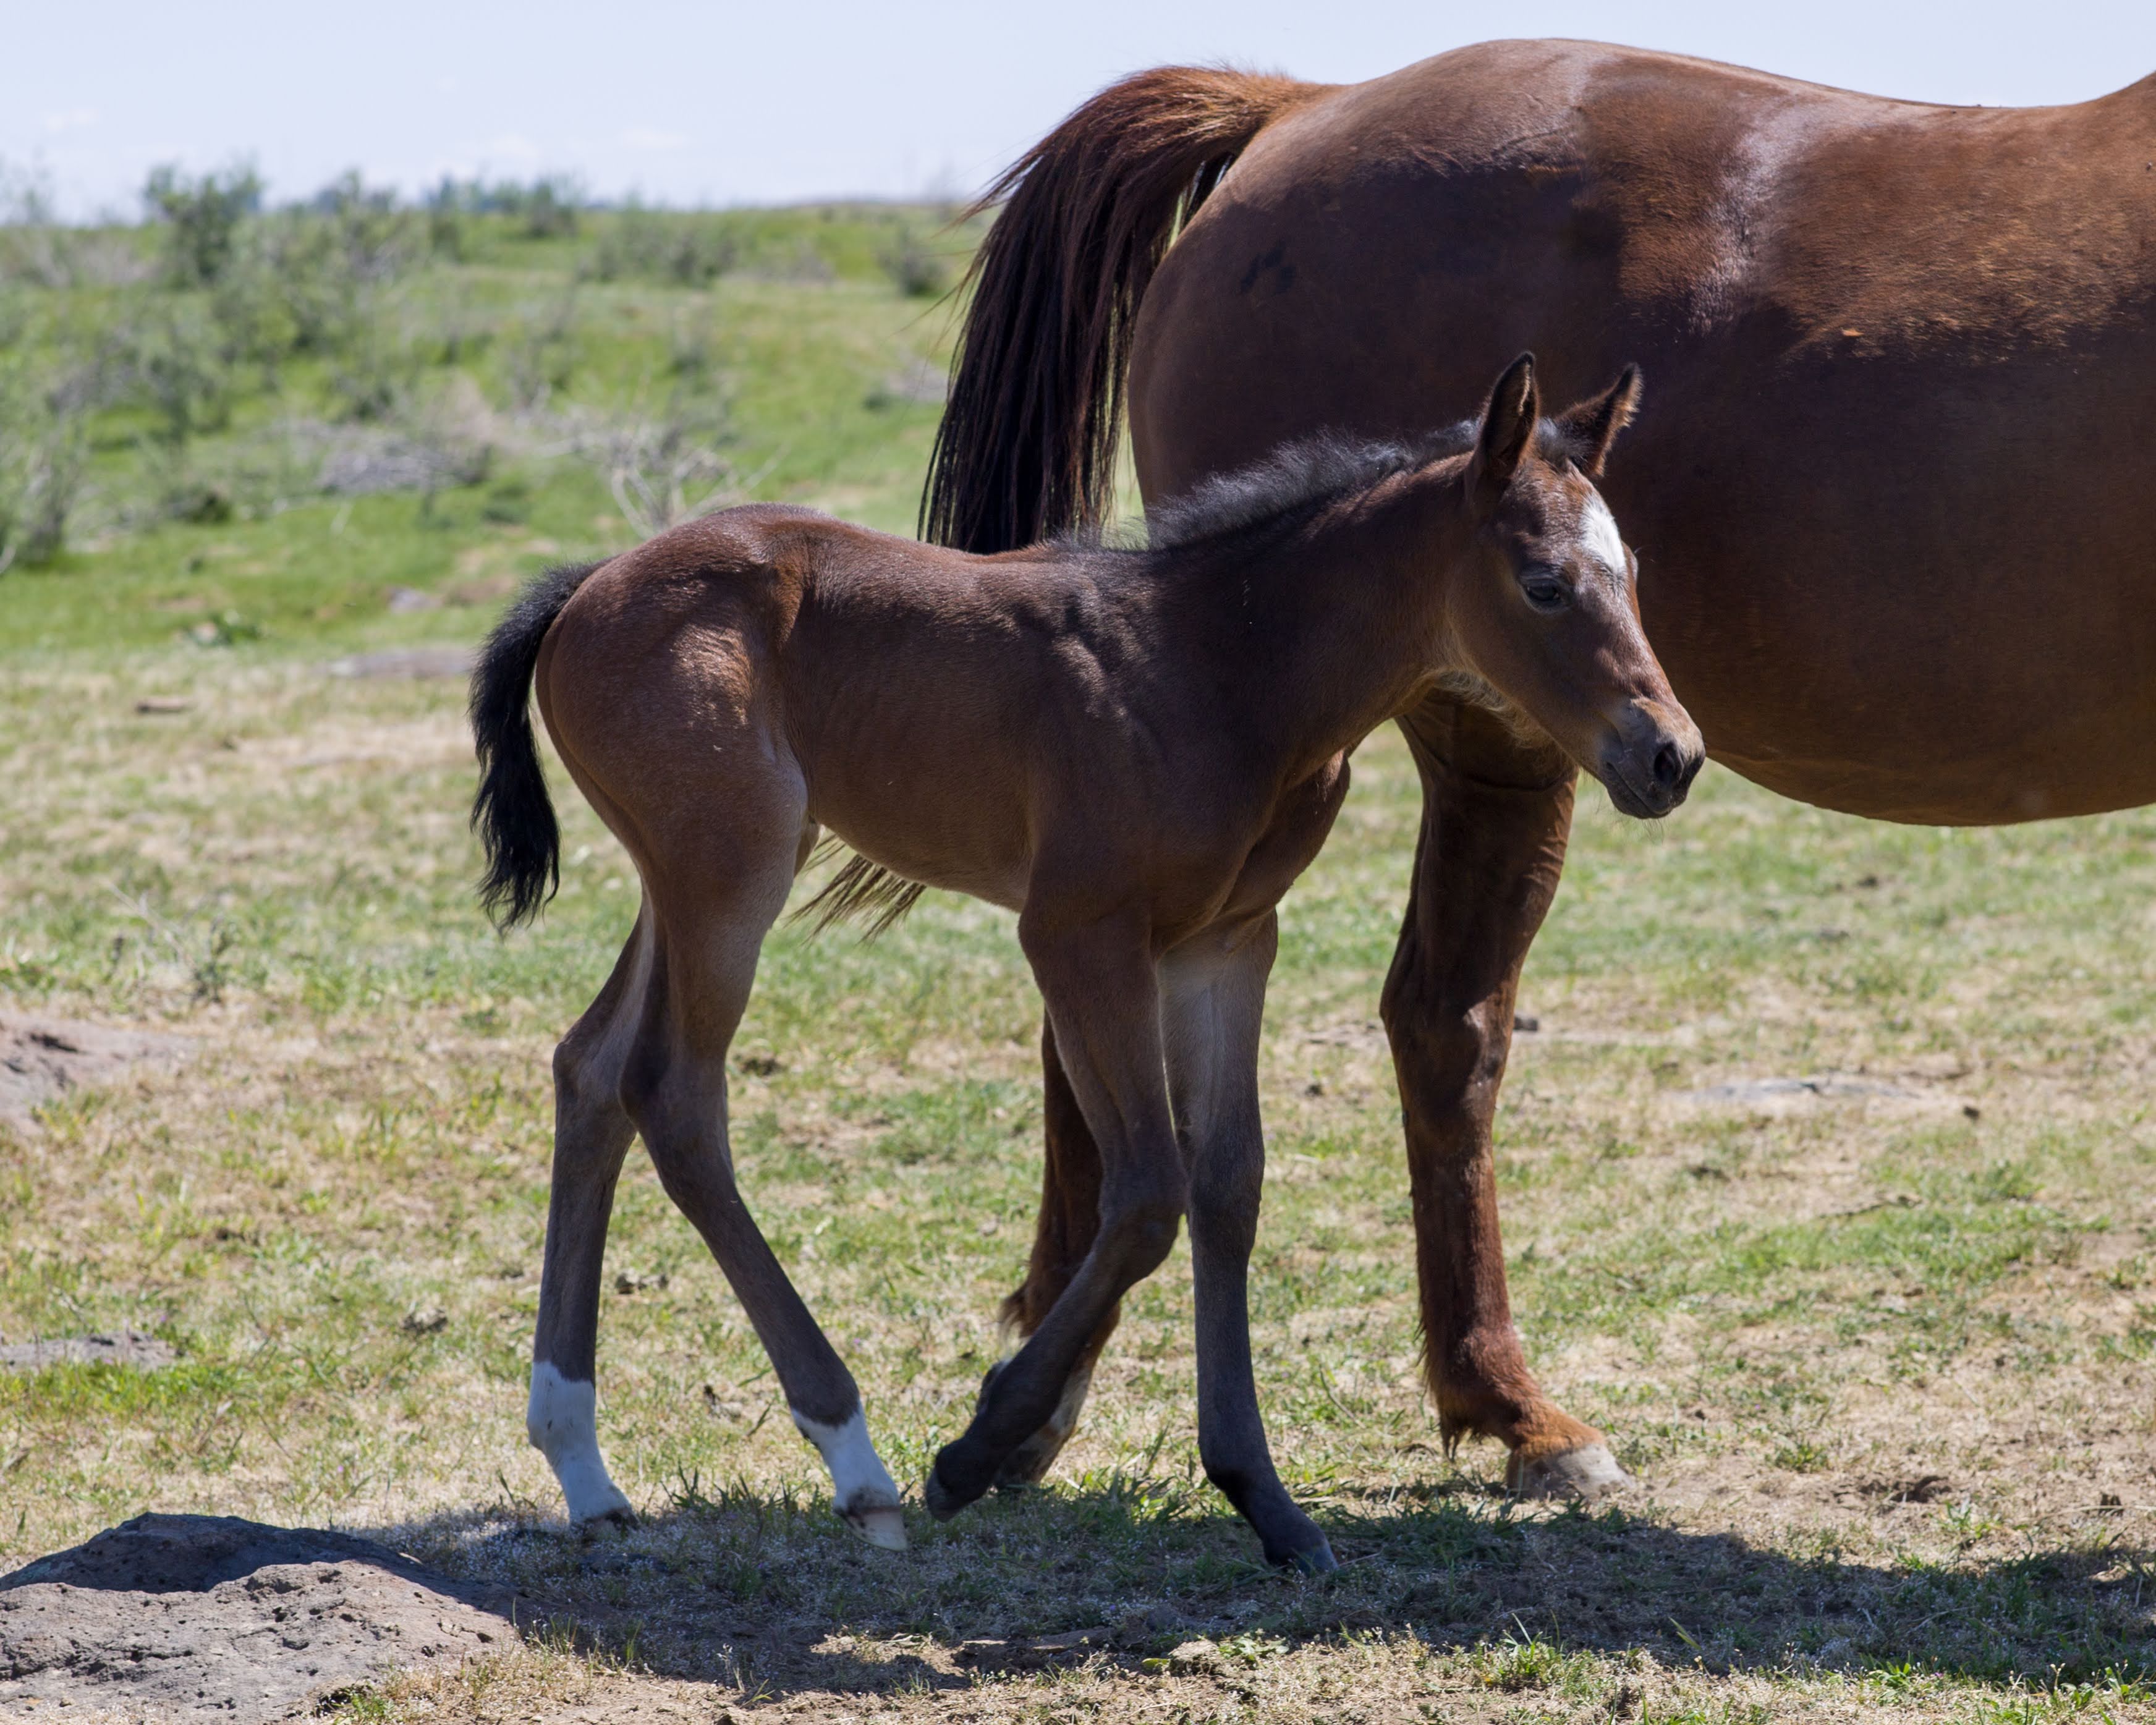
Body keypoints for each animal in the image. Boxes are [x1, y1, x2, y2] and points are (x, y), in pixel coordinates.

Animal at [469, 353, 1701, 1569]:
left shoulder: (1226, 943)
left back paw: (584, 1466)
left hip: (684, 880)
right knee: (675, 1097)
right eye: (1543, 583)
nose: (1670, 754)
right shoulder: (1077, 935)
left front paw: (1262, 1496)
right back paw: (853, 1458)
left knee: (590, 1070)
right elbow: (1148, 1188)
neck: (1219, 666)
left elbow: (1227, 1184)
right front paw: (977, 1450)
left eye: (1636, 571)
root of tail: (587, 585)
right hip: (731, 879)